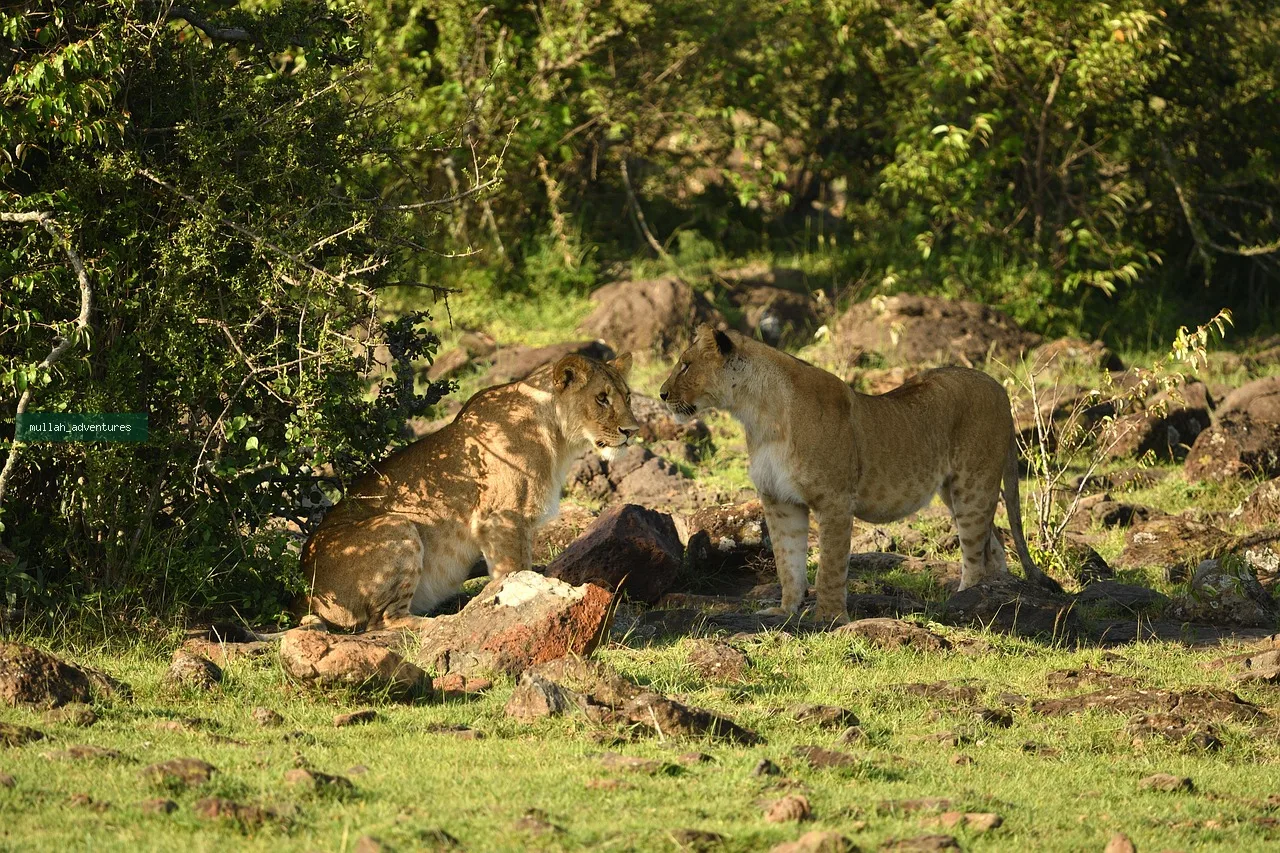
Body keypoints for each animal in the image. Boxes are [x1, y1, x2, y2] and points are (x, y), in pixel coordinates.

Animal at [297, 352, 639, 632]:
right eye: (602, 398)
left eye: (628, 397)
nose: (632, 431)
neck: (559, 439)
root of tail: (303, 590)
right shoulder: (502, 518)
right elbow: (514, 572)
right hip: (398, 524)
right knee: (383, 621)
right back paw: (444, 622)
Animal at [659, 324, 1059, 625]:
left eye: (685, 365)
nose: (661, 394)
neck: (759, 415)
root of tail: (998, 387)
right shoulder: (780, 502)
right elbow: (788, 562)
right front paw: (785, 611)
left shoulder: (834, 501)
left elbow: (830, 566)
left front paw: (829, 618)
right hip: (954, 490)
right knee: (994, 541)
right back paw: (992, 593)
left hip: (972, 484)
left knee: (976, 550)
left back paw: (967, 601)